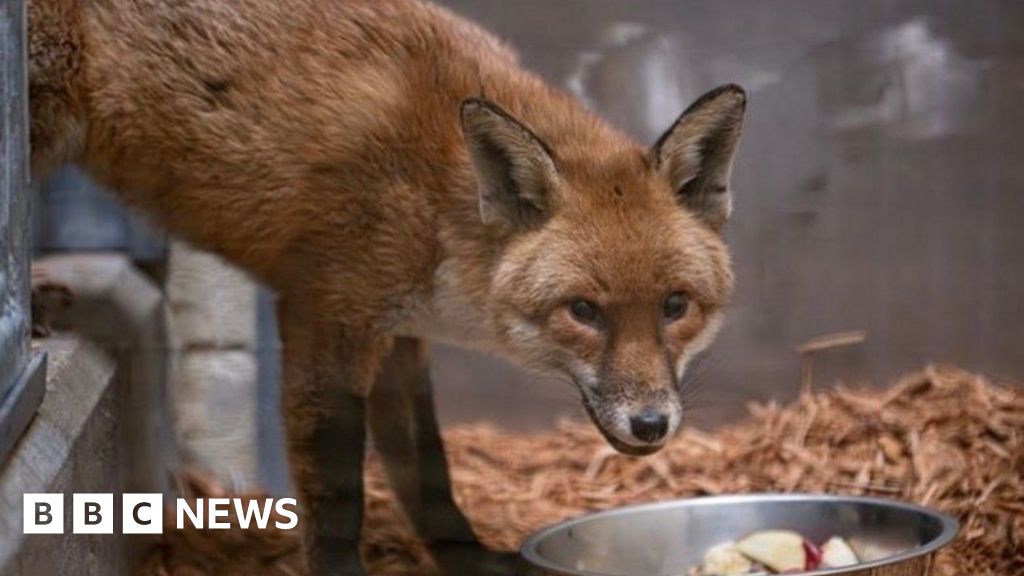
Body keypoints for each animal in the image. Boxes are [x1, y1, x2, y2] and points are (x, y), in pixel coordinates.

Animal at [27, 0, 745, 574]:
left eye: (675, 306)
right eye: (584, 311)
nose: (651, 425)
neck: (435, 196)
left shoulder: (399, 334)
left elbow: (427, 473)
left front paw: (471, 559)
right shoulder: (325, 318)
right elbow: (339, 493)